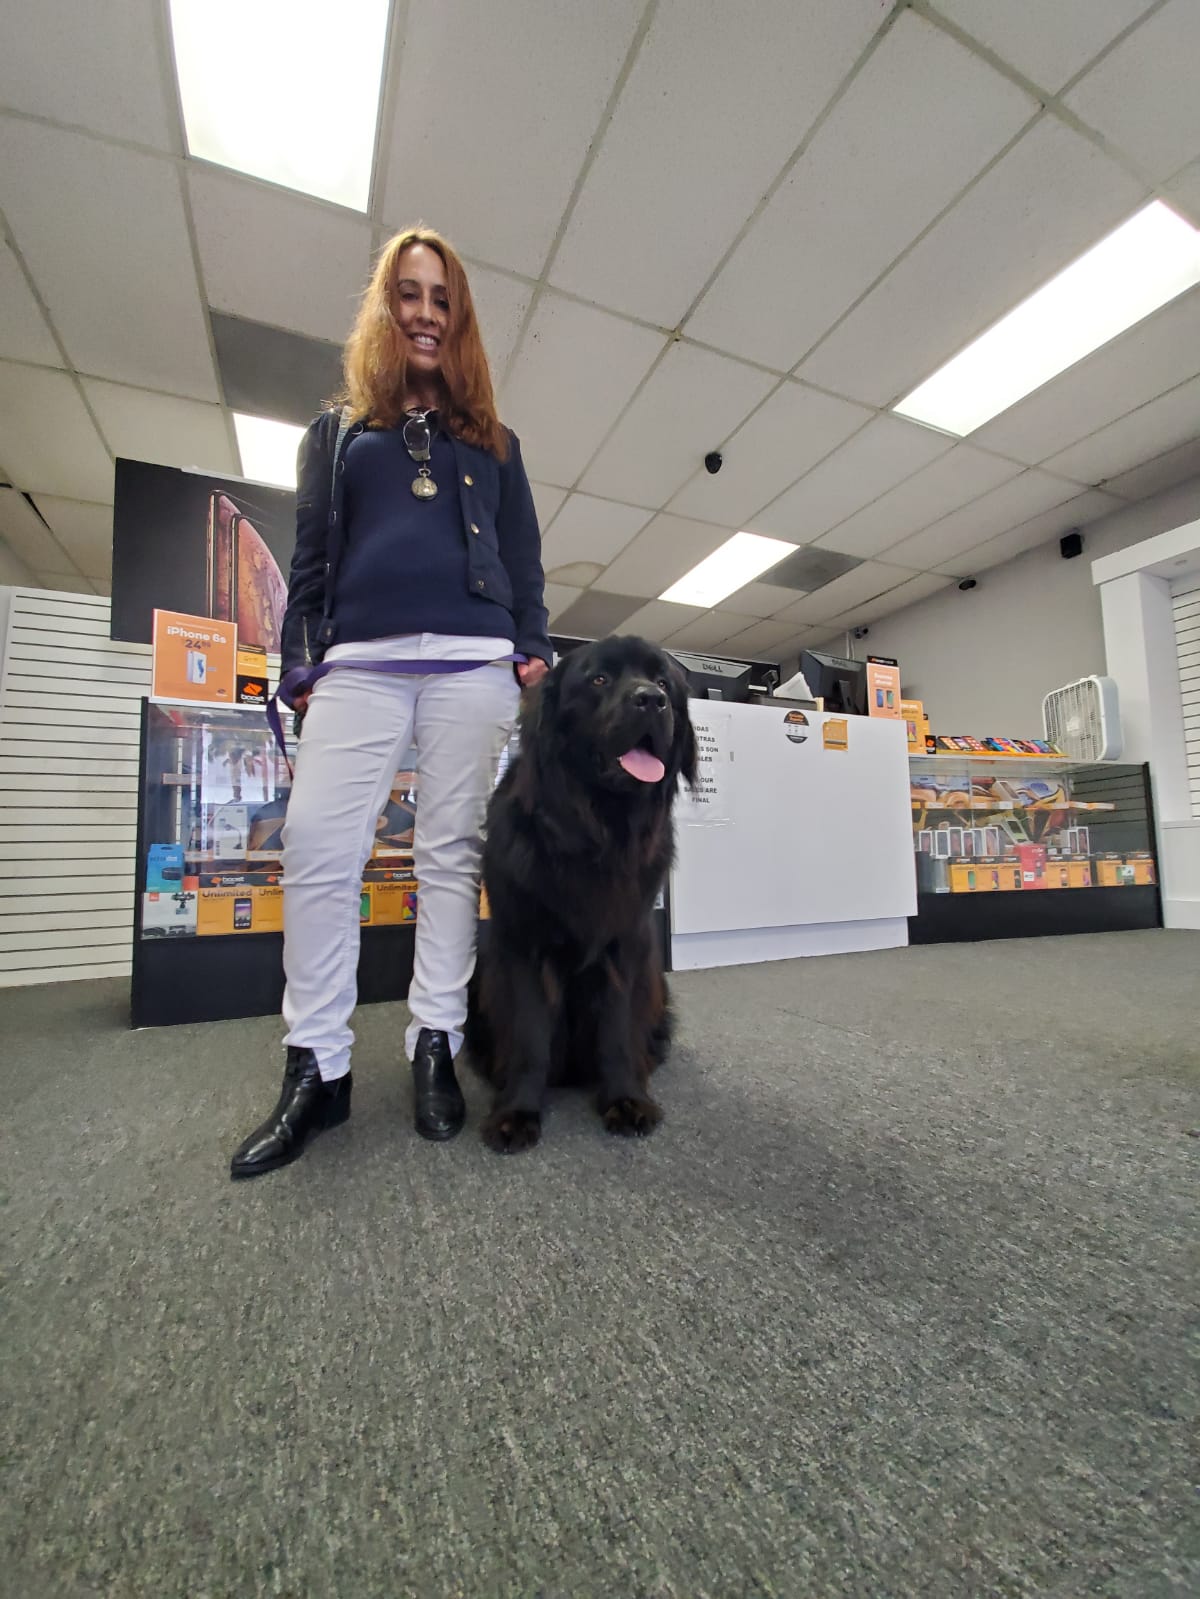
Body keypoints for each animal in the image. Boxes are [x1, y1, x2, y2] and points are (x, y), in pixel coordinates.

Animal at [466, 635, 697, 1153]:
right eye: (599, 679)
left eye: (662, 681)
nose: (652, 700)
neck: (595, 833)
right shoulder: (523, 945)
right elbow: (529, 1034)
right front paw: (516, 1113)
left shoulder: (626, 944)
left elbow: (617, 1029)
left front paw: (626, 1099)